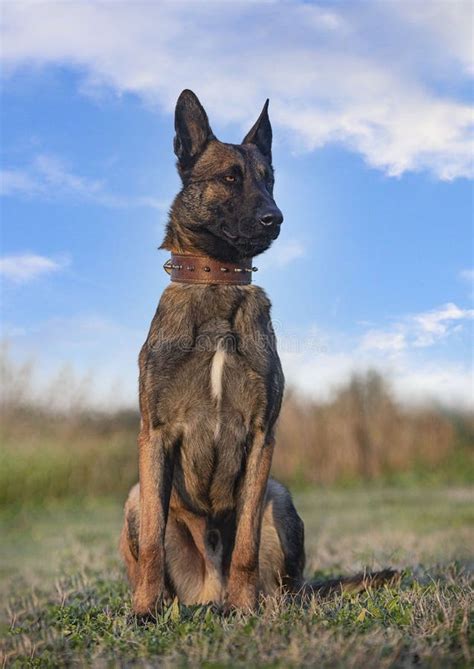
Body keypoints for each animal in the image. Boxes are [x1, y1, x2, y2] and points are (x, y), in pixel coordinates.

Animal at [119, 90, 396, 616]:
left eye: (269, 179)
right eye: (230, 177)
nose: (276, 218)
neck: (218, 282)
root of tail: (209, 589)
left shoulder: (261, 436)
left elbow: (245, 539)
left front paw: (244, 607)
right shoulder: (154, 436)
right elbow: (152, 545)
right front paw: (145, 611)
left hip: (280, 495)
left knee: (279, 581)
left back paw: (248, 602)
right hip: (135, 495)